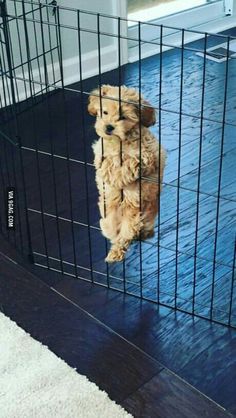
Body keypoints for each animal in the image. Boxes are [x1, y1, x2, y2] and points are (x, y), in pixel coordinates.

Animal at [88, 83, 166, 262]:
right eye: (105, 112)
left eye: (123, 117)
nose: (109, 127)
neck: (119, 141)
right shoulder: (101, 148)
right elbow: (102, 160)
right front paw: (106, 171)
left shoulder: (147, 155)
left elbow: (130, 163)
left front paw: (119, 176)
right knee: (111, 224)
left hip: (136, 210)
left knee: (128, 232)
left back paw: (117, 251)